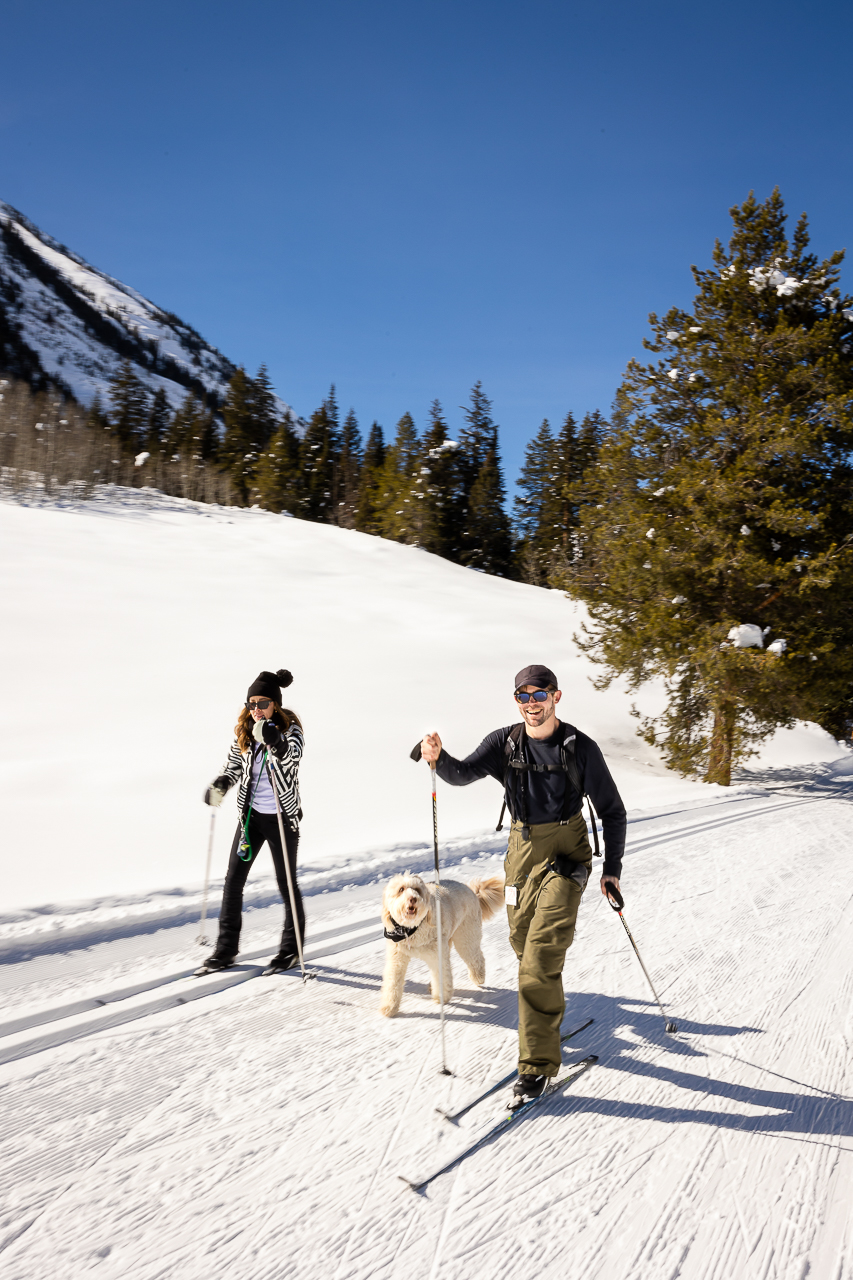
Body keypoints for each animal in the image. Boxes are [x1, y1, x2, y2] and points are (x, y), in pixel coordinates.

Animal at [379, 875, 504, 1013]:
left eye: (417, 890)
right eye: (401, 889)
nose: (413, 899)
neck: (412, 929)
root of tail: (472, 891)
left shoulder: (437, 957)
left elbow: (442, 977)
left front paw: (441, 997)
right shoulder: (397, 958)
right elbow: (393, 982)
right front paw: (389, 1007)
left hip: (466, 937)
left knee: (476, 958)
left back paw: (478, 977)